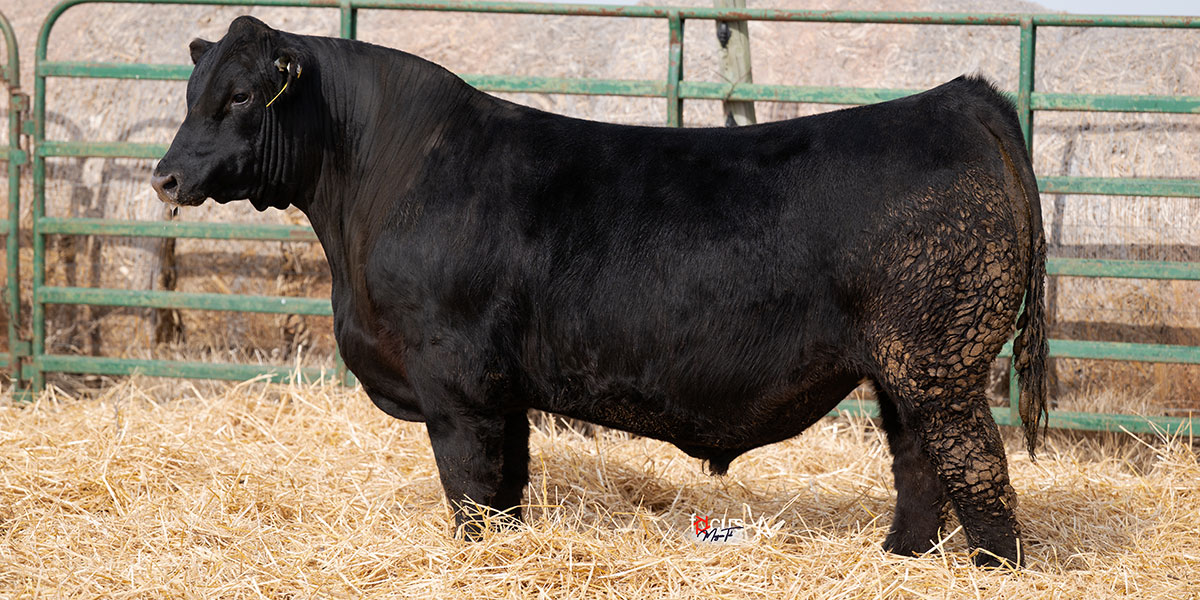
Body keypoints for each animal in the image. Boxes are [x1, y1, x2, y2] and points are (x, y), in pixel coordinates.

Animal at [152, 16, 1049, 567]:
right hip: (905, 370)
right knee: (919, 465)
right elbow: (507, 488)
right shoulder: (503, 392)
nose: (165, 177)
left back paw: (990, 566)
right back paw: (902, 557)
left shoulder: (457, 385)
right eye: (192, 93)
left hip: (942, 362)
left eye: (239, 95)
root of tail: (957, 98)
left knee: (978, 469)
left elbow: (470, 490)